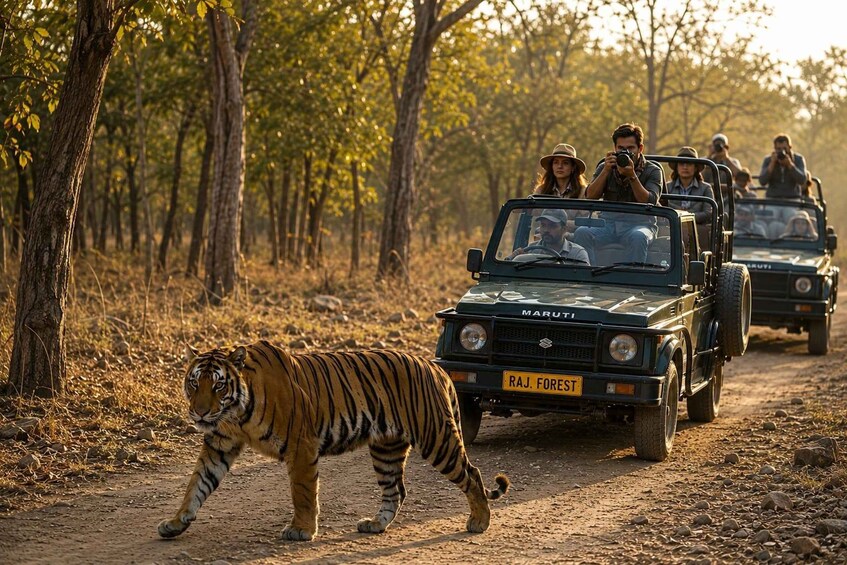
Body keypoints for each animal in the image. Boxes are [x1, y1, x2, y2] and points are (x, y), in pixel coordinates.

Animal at [157, 340, 509, 541]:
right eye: (194, 383)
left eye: (218, 385)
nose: (200, 412)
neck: (235, 413)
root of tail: (435, 368)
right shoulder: (219, 444)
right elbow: (196, 485)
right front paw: (175, 523)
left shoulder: (301, 445)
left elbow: (302, 492)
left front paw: (301, 529)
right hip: (386, 448)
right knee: (395, 491)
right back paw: (375, 524)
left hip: (436, 438)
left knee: (472, 474)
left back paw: (479, 521)